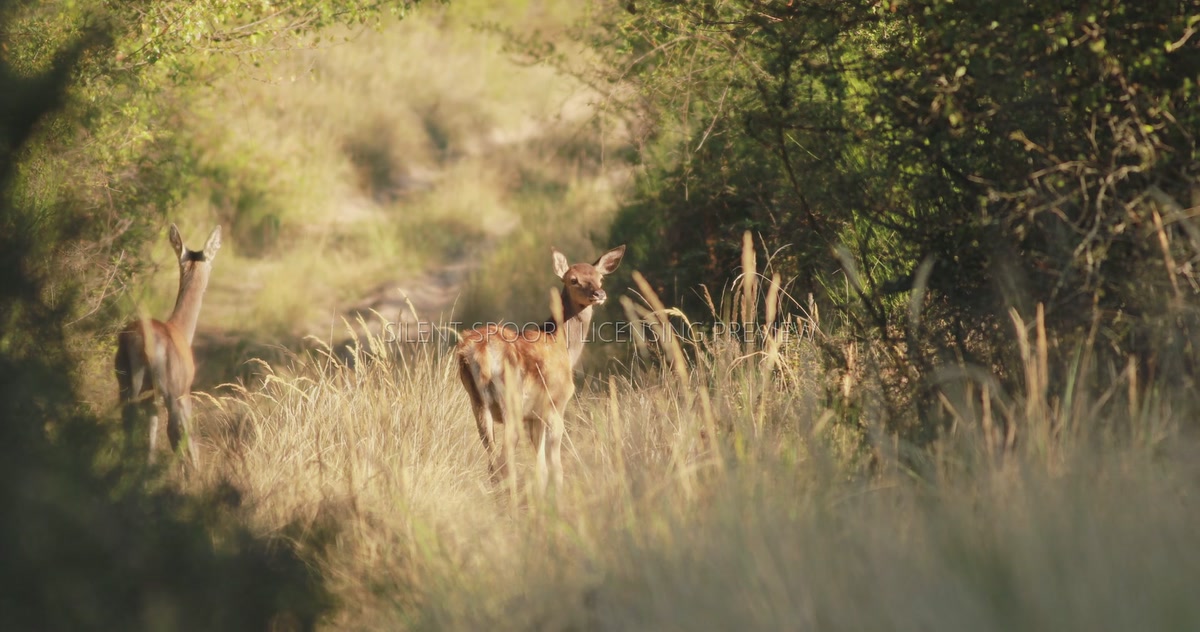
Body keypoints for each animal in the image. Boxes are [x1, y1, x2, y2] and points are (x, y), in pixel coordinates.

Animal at [115, 223, 221, 469]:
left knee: (128, 421)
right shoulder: (184, 391)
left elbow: (152, 432)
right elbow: (189, 435)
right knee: (173, 430)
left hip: (125, 381)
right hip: (170, 388)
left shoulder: (152, 397)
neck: (181, 330)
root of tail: (139, 339)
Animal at [456, 245, 625, 494]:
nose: (599, 294)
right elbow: (555, 464)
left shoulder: (533, 416)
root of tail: (481, 351)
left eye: (600, 277)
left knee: (493, 463)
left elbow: (541, 467)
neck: (561, 345)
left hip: (478, 403)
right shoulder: (556, 403)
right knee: (505, 461)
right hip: (511, 401)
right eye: (573, 280)